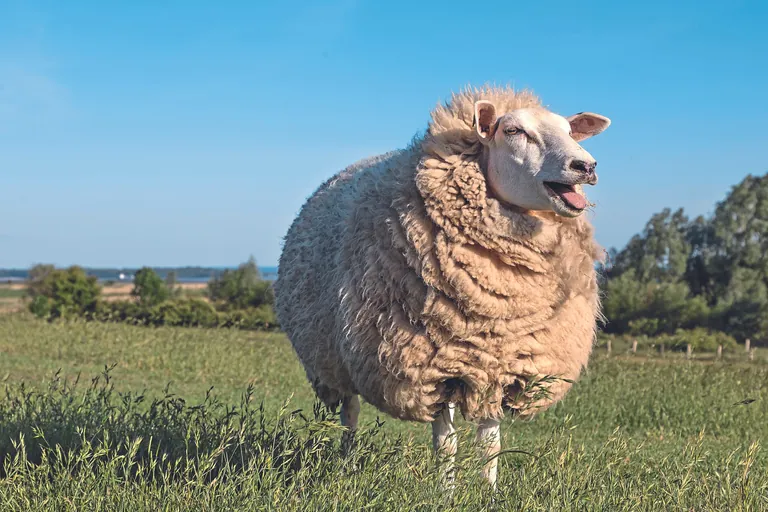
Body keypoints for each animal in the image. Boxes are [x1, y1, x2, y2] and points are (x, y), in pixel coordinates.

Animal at [274, 86, 611, 487]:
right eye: (512, 130)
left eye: (570, 131)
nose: (586, 166)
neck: (499, 303)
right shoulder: (432, 369)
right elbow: (446, 444)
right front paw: (445, 492)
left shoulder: (496, 364)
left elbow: (490, 444)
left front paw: (488, 492)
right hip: (331, 359)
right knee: (349, 414)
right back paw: (346, 465)